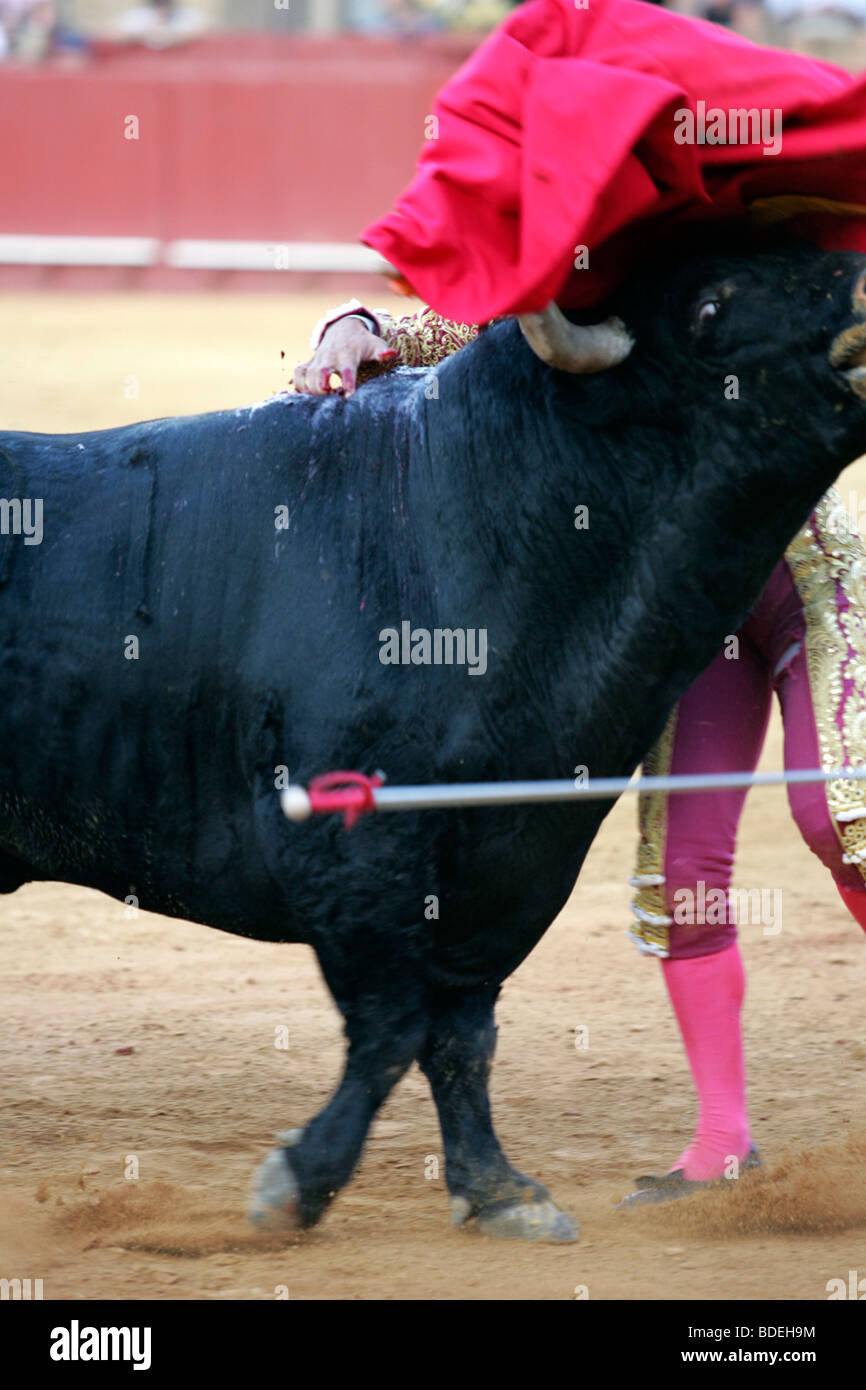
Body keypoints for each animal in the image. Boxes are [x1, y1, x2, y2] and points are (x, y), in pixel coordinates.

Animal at [1, 241, 865, 1243]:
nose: (864, 301)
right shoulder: (352, 849)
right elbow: (395, 1027)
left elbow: (463, 1031)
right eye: (713, 304)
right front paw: (297, 1183)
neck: (468, 516)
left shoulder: (515, 853)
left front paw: (499, 1191)